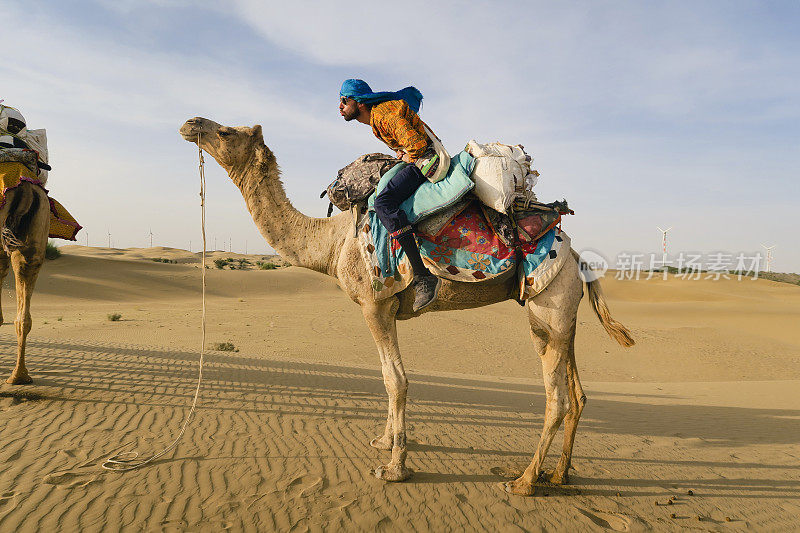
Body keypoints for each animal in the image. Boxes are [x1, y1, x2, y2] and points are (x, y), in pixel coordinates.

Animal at [178, 117, 636, 494]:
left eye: (226, 133)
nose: (190, 123)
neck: (331, 243)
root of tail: (577, 257)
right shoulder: (387, 308)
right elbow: (388, 377)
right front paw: (384, 442)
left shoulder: (373, 304)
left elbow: (395, 380)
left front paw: (394, 468)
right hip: (565, 314)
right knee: (578, 394)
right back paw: (559, 475)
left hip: (546, 306)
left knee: (556, 399)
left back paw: (524, 481)